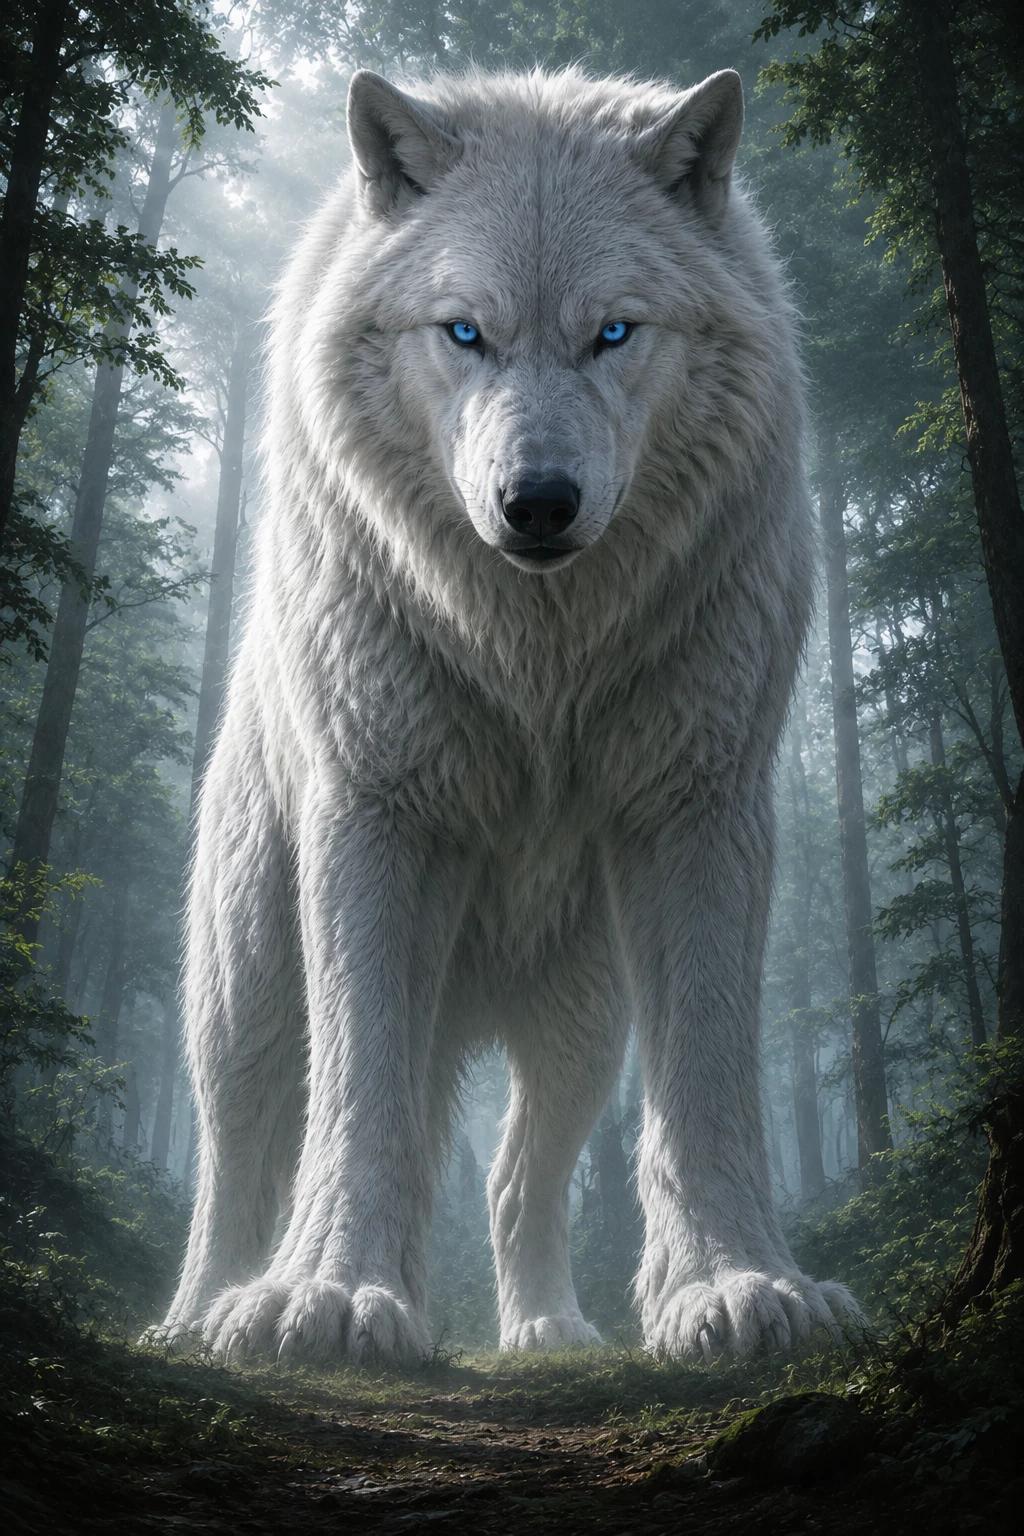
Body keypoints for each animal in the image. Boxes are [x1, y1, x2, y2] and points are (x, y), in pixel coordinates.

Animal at [155, 66, 862, 1364]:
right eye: (464, 331)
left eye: (614, 332)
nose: (537, 502)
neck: (538, 659)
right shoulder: (375, 819)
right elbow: (359, 1090)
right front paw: (327, 1297)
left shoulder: (698, 815)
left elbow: (709, 1081)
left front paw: (739, 1287)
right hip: (248, 987)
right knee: (241, 1150)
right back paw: (197, 1315)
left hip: (578, 1027)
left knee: (513, 1177)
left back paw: (547, 1330)